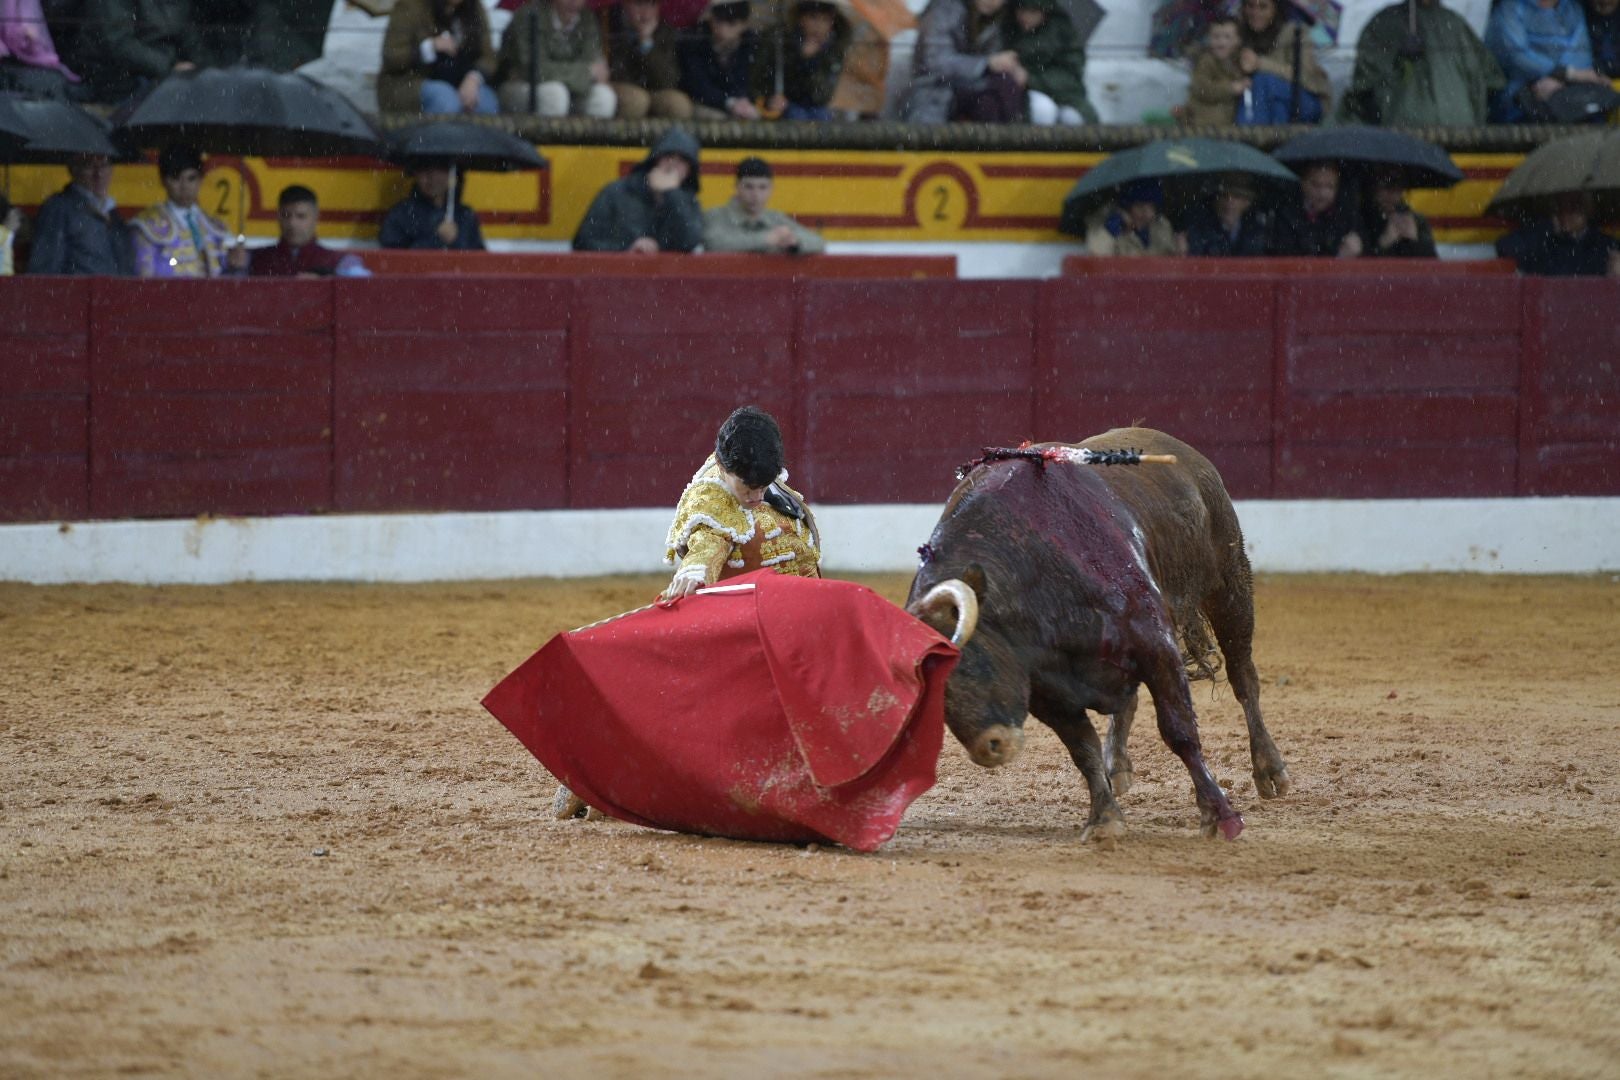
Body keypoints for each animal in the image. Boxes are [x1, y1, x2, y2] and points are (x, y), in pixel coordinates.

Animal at [900, 427, 1289, 841]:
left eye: (972, 661)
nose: (991, 746)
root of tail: (1181, 450)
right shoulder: (1047, 691)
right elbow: (1082, 749)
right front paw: (1104, 818)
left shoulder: (1156, 645)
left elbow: (1179, 732)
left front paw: (1220, 815)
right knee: (1127, 704)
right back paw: (1116, 765)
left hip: (1230, 583)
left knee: (1243, 677)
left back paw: (1270, 770)